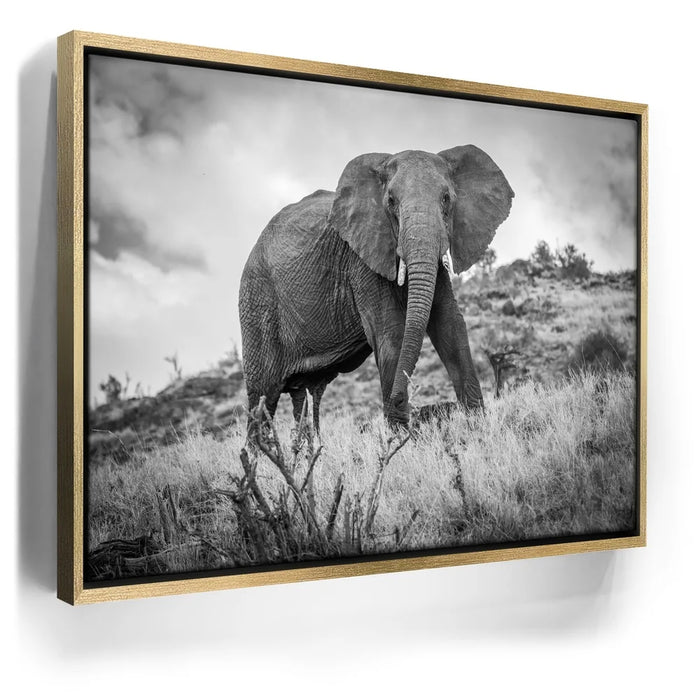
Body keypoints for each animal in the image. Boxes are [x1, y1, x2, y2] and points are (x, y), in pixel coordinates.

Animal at [239, 145, 514, 435]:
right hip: (257, 301)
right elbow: (391, 332)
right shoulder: (362, 258)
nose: (401, 398)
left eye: (447, 199)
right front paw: (402, 438)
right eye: (391, 201)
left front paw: (478, 427)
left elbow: (449, 324)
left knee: (299, 394)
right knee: (263, 394)